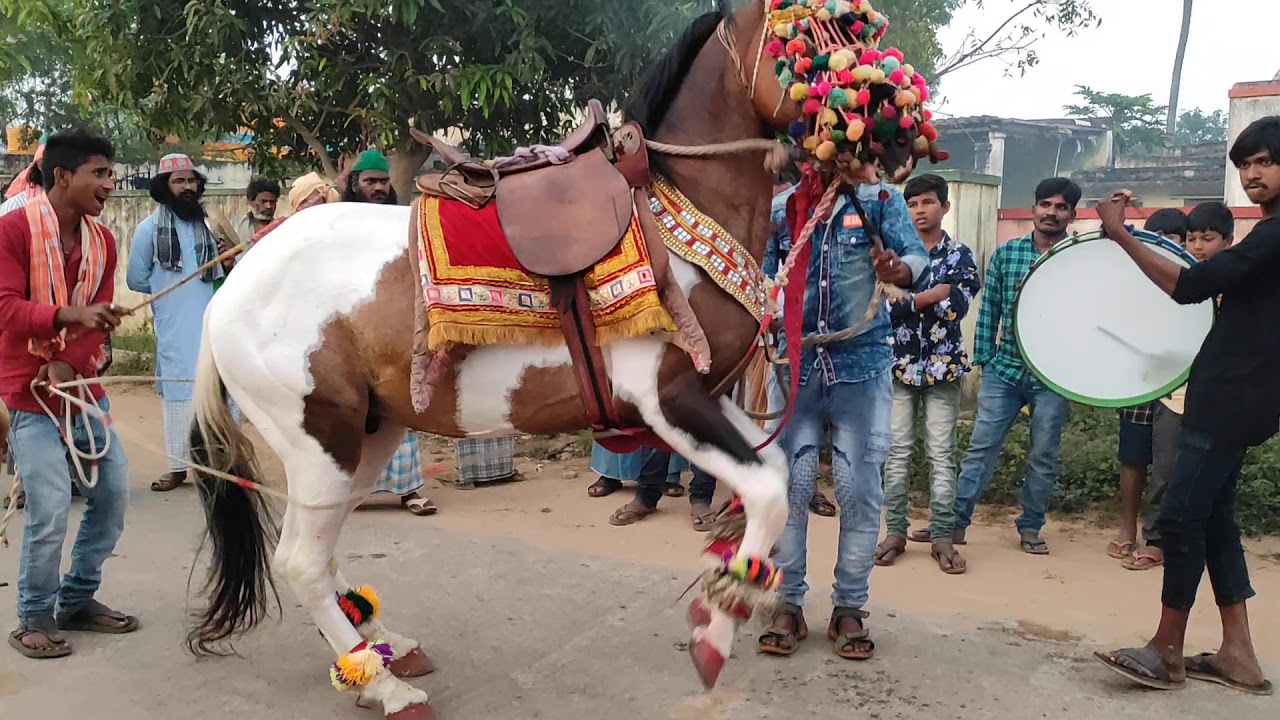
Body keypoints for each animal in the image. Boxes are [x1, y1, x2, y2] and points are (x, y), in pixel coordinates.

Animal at [183, 2, 921, 718]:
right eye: (816, 36)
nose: (898, 130)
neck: (678, 211)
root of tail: (231, 289)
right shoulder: (669, 400)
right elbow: (766, 494)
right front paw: (717, 628)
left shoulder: (709, 399)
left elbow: (772, 481)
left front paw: (726, 591)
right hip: (320, 438)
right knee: (300, 560)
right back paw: (387, 688)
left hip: (370, 433)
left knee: (322, 545)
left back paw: (383, 650)